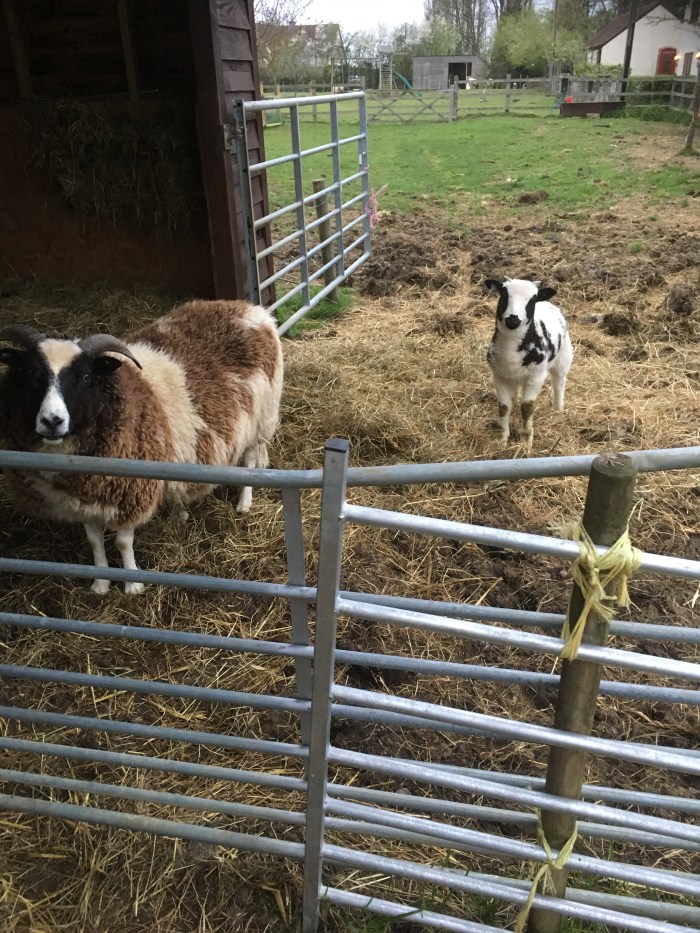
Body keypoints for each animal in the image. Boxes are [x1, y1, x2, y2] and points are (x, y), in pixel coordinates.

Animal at [0, 299, 283, 595]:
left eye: (87, 377)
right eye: (29, 372)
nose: (52, 421)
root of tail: (250, 309)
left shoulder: (131, 491)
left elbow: (123, 542)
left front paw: (133, 585)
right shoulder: (83, 500)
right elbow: (94, 541)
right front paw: (100, 583)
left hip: (261, 415)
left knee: (250, 458)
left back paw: (244, 503)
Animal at [484, 277, 573, 452]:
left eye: (532, 300)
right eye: (504, 295)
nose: (513, 319)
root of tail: (548, 303)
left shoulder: (535, 378)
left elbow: (526, 408)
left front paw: (525, 442)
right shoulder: (498, 376)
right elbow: (504, 407)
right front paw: (502, 439)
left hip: (564, 357)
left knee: (559, 382)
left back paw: (558, 410)